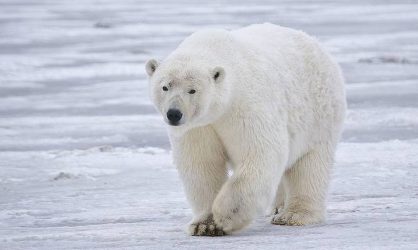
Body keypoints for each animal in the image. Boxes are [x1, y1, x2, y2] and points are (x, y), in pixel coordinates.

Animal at [145, 23, 346, 236]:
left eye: (192, 90)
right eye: (165, 87)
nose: (174, 114)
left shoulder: (245, 105)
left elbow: (260, 153)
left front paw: (225, 216)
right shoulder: (198, 127)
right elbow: (202, 164)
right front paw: (204, 225)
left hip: (319, 115)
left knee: (309, 165)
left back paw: (293, 215)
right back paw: (278, 207)